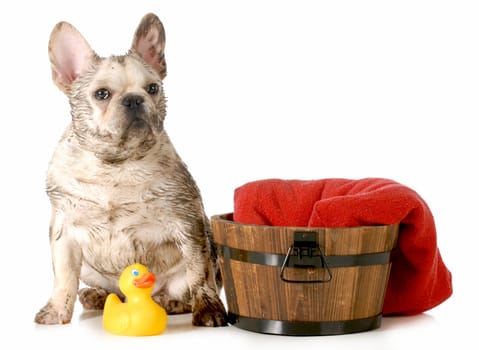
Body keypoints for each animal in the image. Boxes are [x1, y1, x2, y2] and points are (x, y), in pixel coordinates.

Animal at [34, 11, 229, 328]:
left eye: (153, 88)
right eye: (102, 94)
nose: (134, 99)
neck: (116, 163)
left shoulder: (188, 224)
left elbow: (199, 273)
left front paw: (209, 309)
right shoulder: (64, 232)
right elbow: (63, 276)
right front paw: (56, 311)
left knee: (186, 287)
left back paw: (173, 302)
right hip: (89, 268)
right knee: (109, 290)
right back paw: (98, 296)